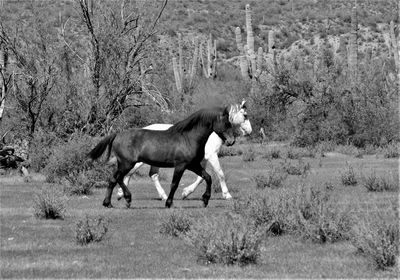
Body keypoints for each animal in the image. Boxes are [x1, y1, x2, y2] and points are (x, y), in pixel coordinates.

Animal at [88, 106, 234, 208]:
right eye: (227, 123)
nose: (231, 141)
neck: (188, 138)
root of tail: (117, 134)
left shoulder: (193, 165)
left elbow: (207, 177)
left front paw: (205, 200)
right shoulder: (181, 165)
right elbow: (174, 184)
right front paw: (169, 203)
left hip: (124, 164)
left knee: (113, 179)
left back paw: (108, 203)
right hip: (127, 163)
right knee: (118, 178)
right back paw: (127, 199)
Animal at [116, 100, 253, 201]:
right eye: (245, 115)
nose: (249, 131)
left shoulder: (201, 160)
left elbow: (202, 177)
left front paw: (186, 192)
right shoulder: (211, 156)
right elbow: (220, 173)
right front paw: (227, 194)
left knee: (153, 175)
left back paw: (163, 196)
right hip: (138, 161)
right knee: (129, 173)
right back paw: (121, 193)